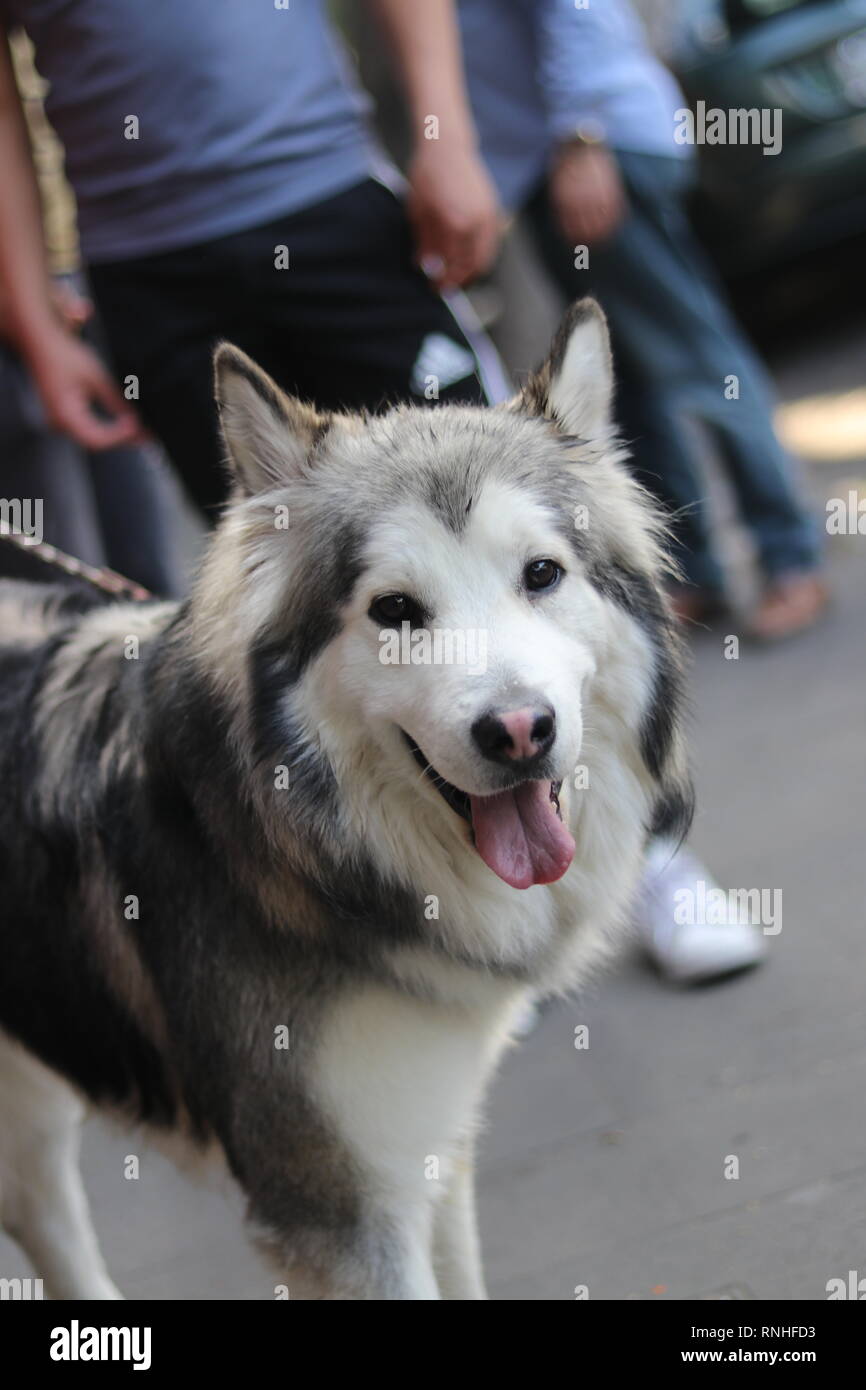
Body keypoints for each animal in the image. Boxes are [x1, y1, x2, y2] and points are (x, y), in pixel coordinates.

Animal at [0, 298, 692, 1295]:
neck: (294, 855)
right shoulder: (342, 1214)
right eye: (395, 611)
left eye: (542, 575)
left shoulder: (430, 1152)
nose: (520, 732)